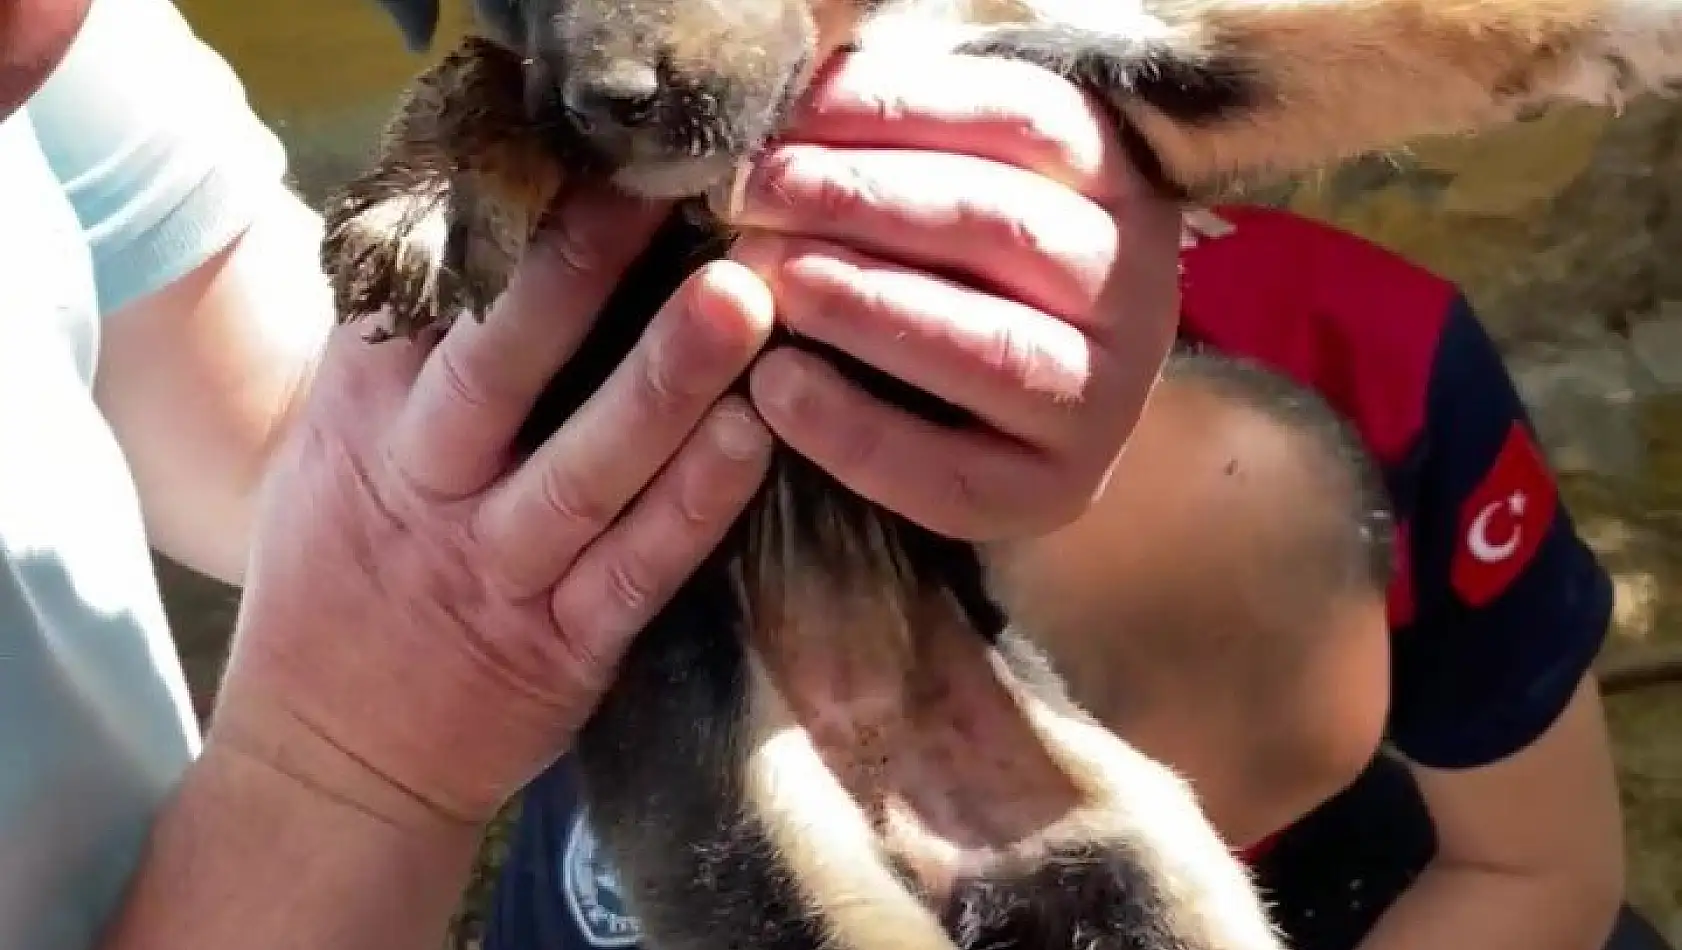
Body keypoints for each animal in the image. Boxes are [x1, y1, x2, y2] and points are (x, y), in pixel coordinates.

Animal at [316, 1, 1682, 948]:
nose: (617, 102)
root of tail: (920, 834)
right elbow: (496, 80)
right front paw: (428, 197)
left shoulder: (1075, 74)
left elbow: (1315, 39)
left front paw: (1612, 31)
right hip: (784, 877)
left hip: (1160, 866)